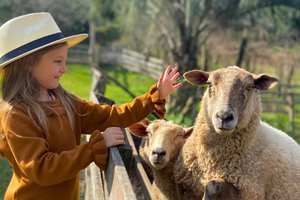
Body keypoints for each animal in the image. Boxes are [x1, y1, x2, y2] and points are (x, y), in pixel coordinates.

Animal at [173, 67, 300, 200]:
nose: (224, 117)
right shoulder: (185, 187)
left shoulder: (248, 194)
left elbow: (213, 185)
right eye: (210, 84)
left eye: (249, 87)